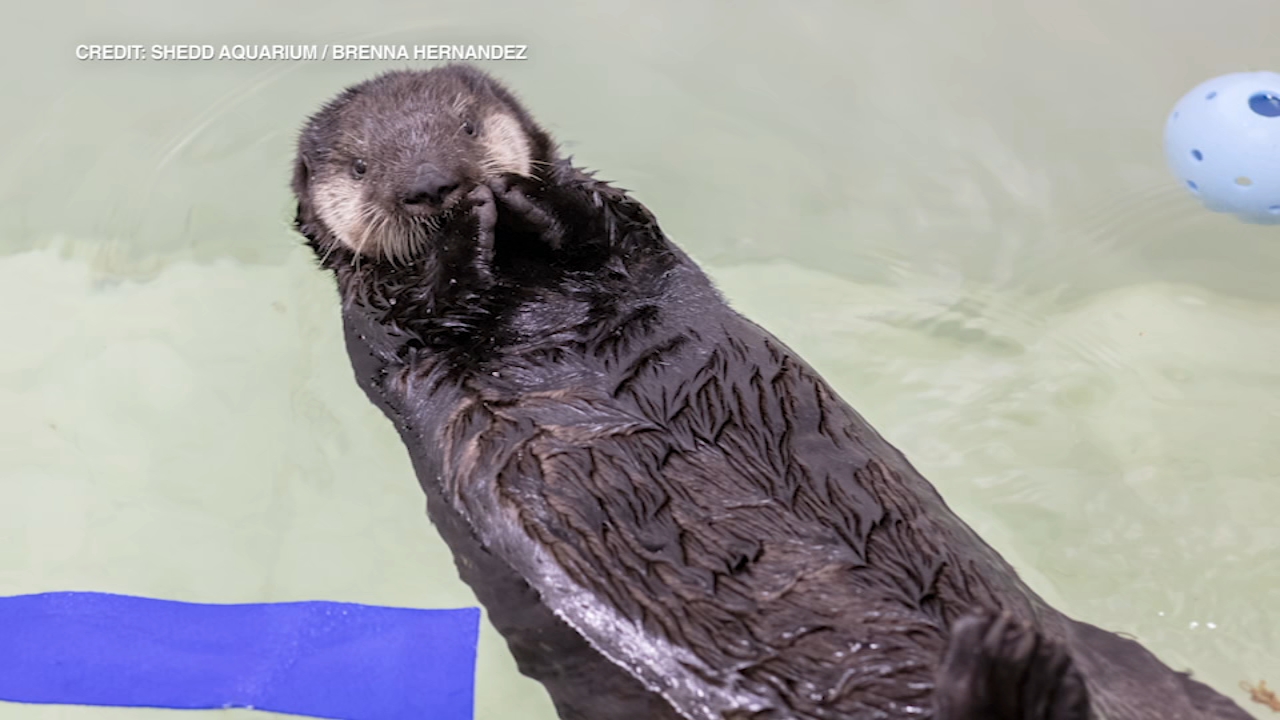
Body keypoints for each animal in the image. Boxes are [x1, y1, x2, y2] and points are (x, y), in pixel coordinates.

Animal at [290, 63, 1253, 720]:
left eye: (464, 124)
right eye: (361, 165)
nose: (434, 186)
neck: (530, 289)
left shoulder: (636, 250)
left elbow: (614, 228)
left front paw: (533, 195)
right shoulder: (390, 334)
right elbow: (435, 307)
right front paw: (466, 235)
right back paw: (1007, 670)